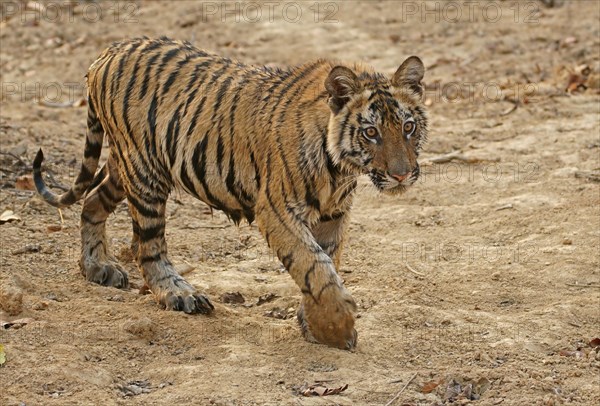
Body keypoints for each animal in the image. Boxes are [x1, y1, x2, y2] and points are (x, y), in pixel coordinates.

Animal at [32, 36, 426, 350]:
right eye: (371, 133)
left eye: (408, 127)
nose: (402, 174)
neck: (341, 168)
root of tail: (109, 51)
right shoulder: (277, 210)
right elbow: (314, 266)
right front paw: (338, 329)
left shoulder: (333, 214)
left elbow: (326, 265)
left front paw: (315, 325)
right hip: (144, 174)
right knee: (147, 246)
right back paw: (181, 295)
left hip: (126, 164)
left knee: (92, 200)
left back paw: (96, 266)